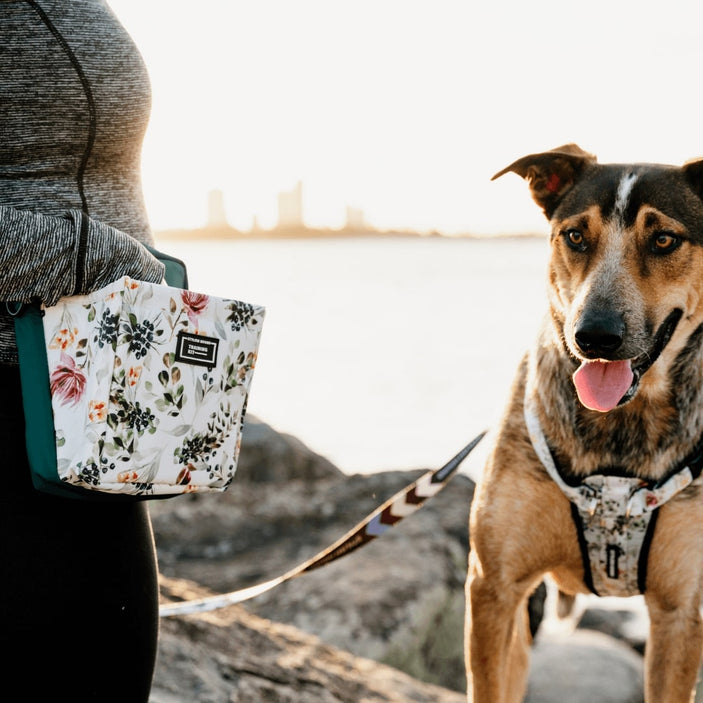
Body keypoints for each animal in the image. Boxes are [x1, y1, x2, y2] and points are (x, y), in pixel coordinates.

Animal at [468, 144, 703, 703]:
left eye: (664, 239)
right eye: (575, 235)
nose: (594, 335)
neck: (621, 422)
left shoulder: (681, 612)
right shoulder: (493, 588)